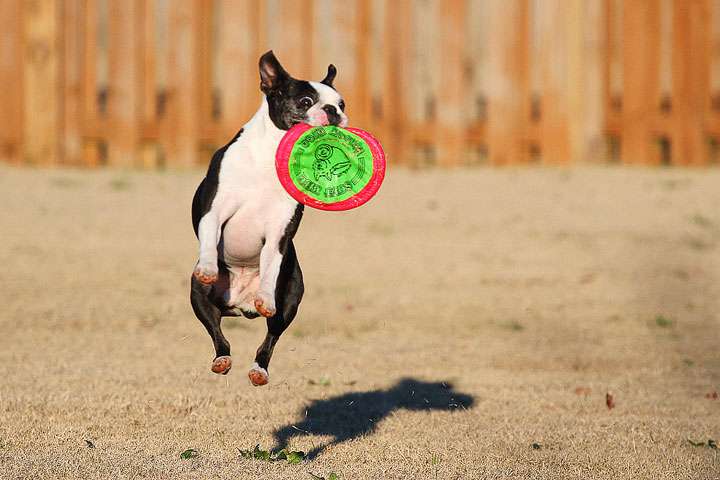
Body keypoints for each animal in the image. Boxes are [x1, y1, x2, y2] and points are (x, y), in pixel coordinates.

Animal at [191, 50, 348, 384]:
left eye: (342, 104)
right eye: (305, 100)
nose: (332, 111)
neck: (269, 156)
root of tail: (239, 306)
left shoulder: (279, 231)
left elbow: (271, 262)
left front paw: (265, 296)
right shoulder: (215, 208)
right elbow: (209, 236)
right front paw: (208, 266)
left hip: (291, 297)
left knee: (270, 337)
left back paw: (258, 368)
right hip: (198, 294)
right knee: (217, 332)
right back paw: (222, 359)